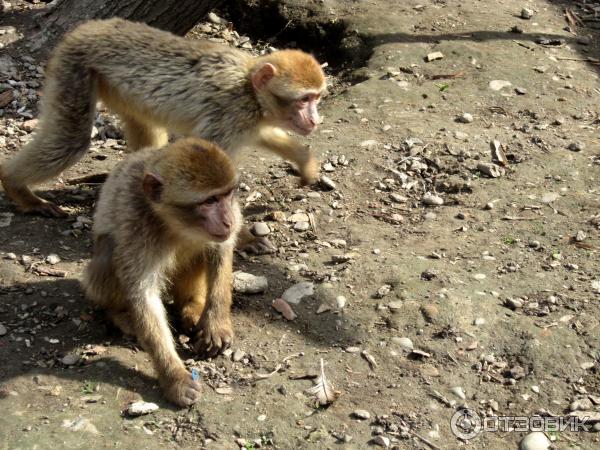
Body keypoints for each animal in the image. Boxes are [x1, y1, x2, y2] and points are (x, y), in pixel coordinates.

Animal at [0, 18, 326, 223]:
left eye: (317, 98)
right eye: (304, 100)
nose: (315, 119)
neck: (249, 89)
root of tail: (90, 27)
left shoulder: (248, 120)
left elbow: (264, 135)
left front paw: (304, 160)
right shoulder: (230, 117)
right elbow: (213, 172)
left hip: (114, 86)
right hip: (75, 69)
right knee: (70, 140)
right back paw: (16, 185)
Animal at [81, 138, 241, 408]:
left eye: (227, 194)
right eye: (210, 200)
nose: (228, 220)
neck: (174, 223)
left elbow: (221, 248)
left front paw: (216, 323)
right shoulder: (136, 224)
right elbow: (143, 294)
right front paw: (175, 377)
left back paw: (191, 306)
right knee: (109, 251)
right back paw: (119, 314)